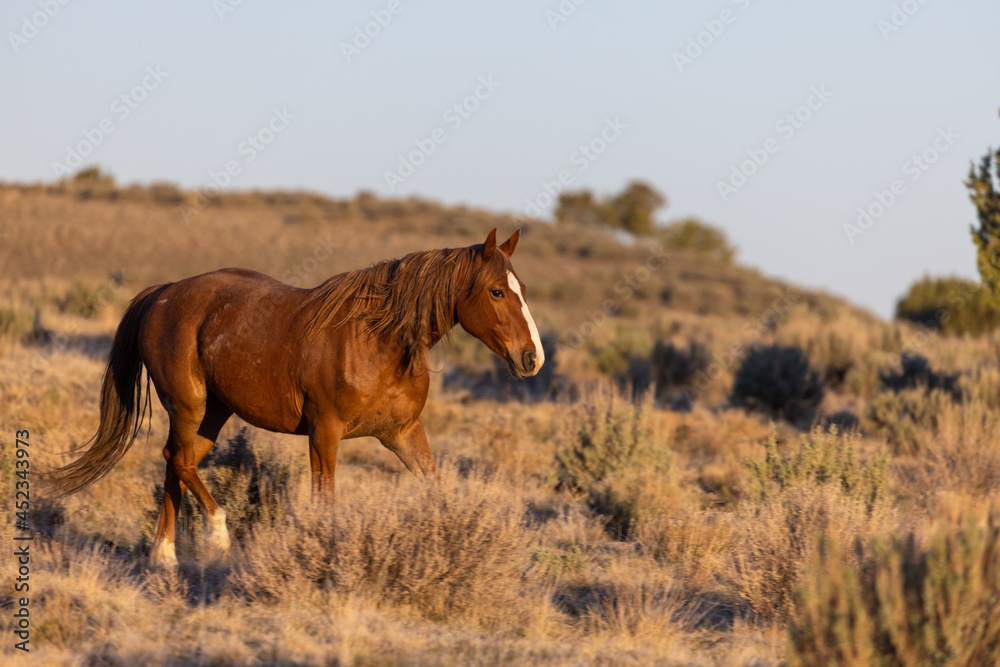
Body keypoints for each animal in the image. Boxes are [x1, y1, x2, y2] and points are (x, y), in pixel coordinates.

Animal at [48, 228, 544, 568]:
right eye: (497, 291)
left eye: (522, 289)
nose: (532, 358)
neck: (377, 341)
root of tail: (163, 293)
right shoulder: (324, 434)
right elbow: (324, 501)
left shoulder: (403, 433)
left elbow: (436, 490)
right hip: (189, 405)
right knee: (180, 460)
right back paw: (216, 537)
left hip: (212, 414)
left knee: (177, 462)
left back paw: (165, 556)